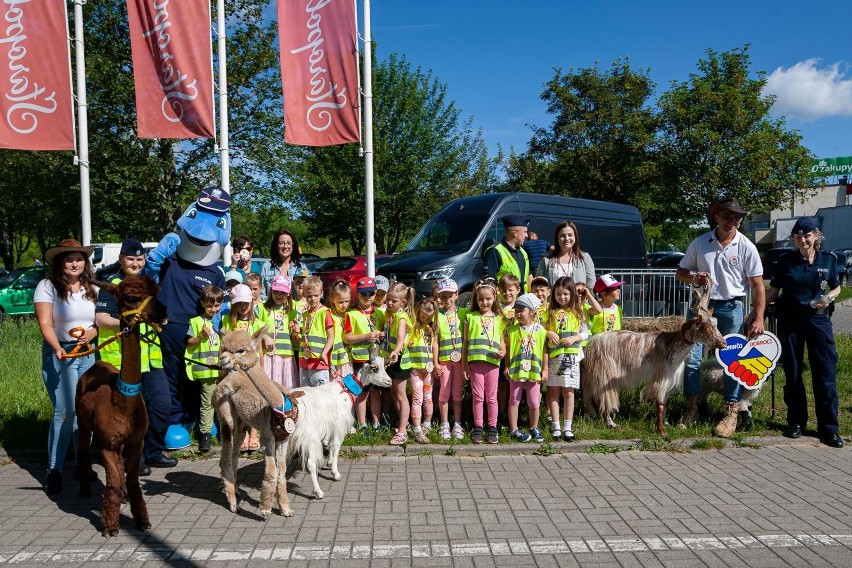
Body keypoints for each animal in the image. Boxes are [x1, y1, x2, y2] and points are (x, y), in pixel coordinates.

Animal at [75, 278, 167, 540]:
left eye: (155, 292)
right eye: (131, 298)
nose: (163, 312)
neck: (121, 402)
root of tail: (94, 367)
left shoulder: (136, 440)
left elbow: (133, 479)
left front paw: (143, 520)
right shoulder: (108, 442)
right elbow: (113, 483)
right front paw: (109, 526)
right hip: (83, 421)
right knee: (84, 451)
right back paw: (84, 489)